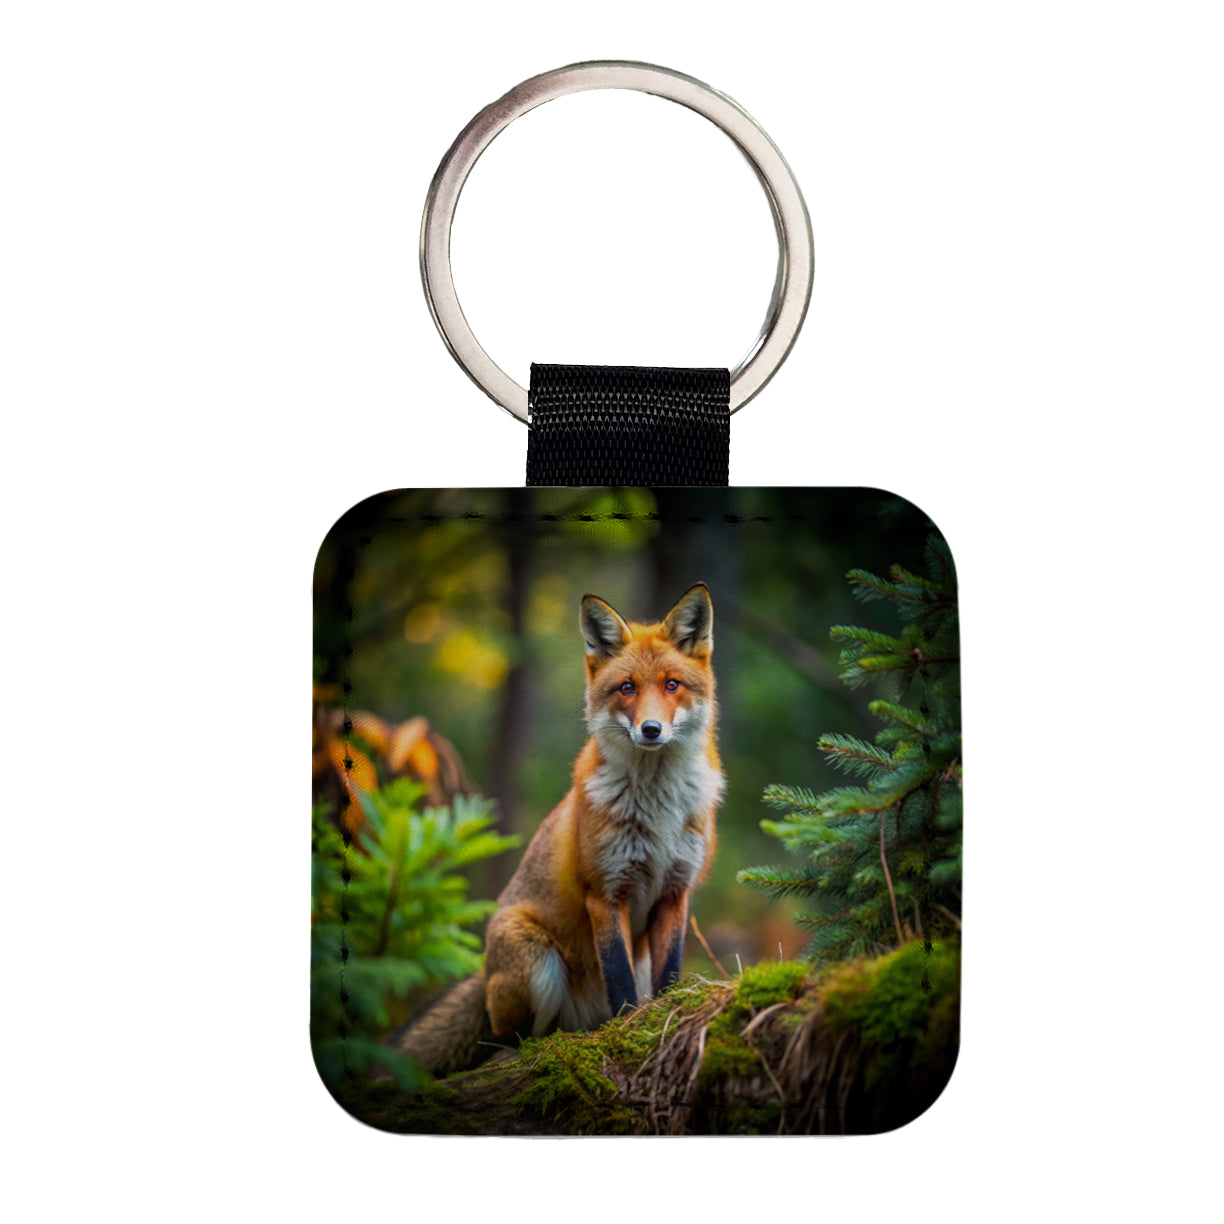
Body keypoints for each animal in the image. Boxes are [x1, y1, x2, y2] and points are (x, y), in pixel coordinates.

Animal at [394, 582, 723, 1077]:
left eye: (672, 685)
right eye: (627, 688)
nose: (651, 729)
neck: (658, 811)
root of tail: (485, 974)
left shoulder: (675, 891)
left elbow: (668, 976)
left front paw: (663, 1018)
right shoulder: (605, 891)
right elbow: (619, 979)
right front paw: (628, 1030)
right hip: (536, 958)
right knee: (509, 1040)